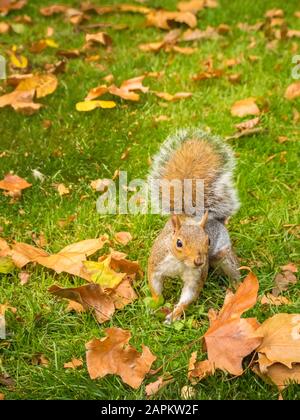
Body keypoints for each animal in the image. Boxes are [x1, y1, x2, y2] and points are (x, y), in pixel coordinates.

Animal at [148, 126, 241, 324]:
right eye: (179, 243)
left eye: (208, 241)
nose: (199, 261)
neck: (180, 263)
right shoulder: (157, 262)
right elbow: (154, 284)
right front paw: (157, 305)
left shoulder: (196, 275)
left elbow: (189, 295)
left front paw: (174, 315)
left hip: (223, 253)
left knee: (232, 267)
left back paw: (238, 286)